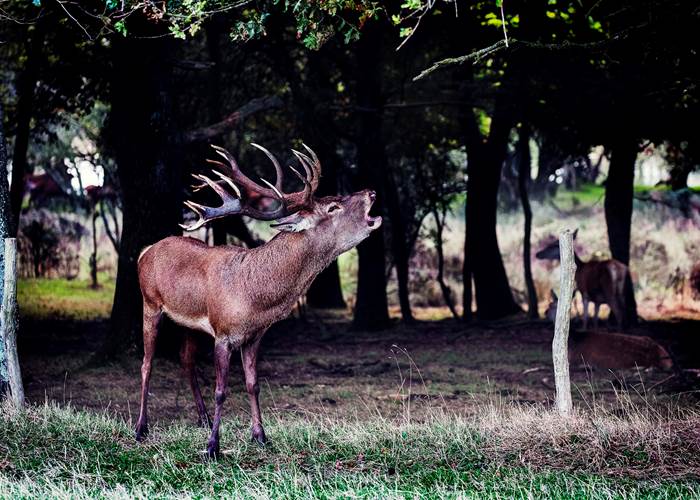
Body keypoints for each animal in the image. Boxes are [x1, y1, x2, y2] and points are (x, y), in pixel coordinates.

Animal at [135, 143, 382, 458]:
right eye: (333, 207)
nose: (371, 192)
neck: (255, 297)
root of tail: (146, 251)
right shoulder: (223, 333)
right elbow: (222, 390)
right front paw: (212, 447)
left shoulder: (253, 336)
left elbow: (253, 384)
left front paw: (261, 436)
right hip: (150, 303)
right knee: (146, 363)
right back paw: (141, 428)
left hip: (189, 323)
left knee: (186, 360)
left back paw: (202, 418)